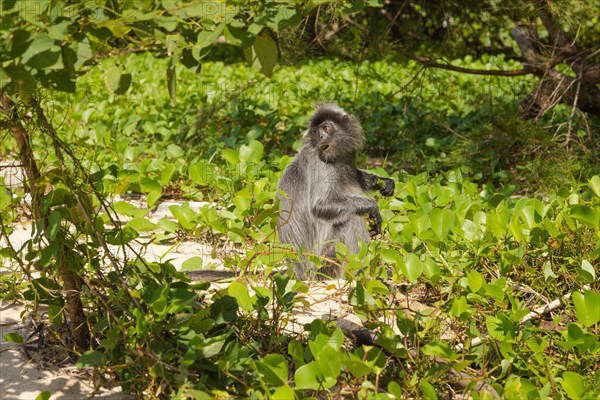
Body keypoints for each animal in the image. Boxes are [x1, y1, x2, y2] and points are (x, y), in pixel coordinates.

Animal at [276, 103, 394, 282]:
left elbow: (353, 175)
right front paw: (373, 207)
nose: (321, 137)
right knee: (352, 220)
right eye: (316, 132)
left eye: (326, 128)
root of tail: (301, 274)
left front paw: (385, 182)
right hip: (325, 262)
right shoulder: (320, 165)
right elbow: (319, 206)